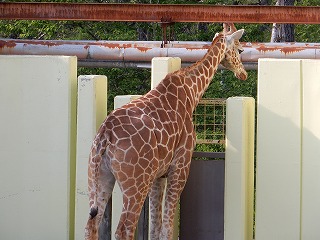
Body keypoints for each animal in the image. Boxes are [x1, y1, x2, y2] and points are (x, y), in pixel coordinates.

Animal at [84, 22, 246, 240]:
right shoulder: (180, 166)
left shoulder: (158, 175)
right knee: (123, 229)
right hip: (135, 184)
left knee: (91, 224)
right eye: (240, 49)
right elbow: (167, 229)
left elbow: (155, 228)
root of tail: (104, 136)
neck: (191, 93)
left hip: (100, 176)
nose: (243, 73)